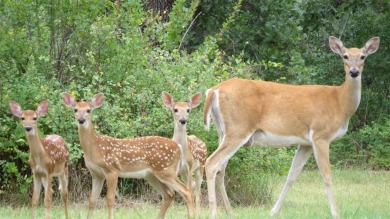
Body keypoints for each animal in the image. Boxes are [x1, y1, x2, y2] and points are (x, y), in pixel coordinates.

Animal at [62, 92, 195, 219]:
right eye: (75, 109)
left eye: (88, 110)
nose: (81, 120)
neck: (94, 147)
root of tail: (178, 146)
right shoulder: (96, 174)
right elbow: (92, 200)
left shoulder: (112, 169)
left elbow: (110, 200)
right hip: (152, 175)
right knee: (169, 194)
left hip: (166, 170)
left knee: (186, 191)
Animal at [203, 36, 380, 217]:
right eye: (345, 56)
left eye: (362, 56)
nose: (354, 72)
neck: (340, 103)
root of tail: (213, 90)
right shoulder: (320, 135)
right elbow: (326, 176)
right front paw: (336, 213)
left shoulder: (306, 143)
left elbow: (292, 176)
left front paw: (273, 212)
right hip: (239, 128)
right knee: (211, 163)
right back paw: (214, 213)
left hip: (223, 131)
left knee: (221, 169)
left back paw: (230, 212)